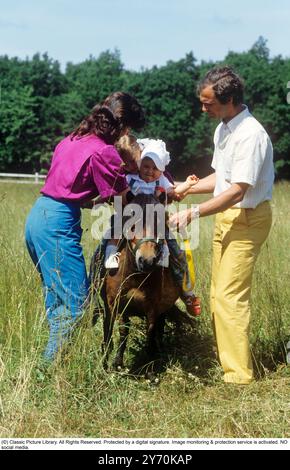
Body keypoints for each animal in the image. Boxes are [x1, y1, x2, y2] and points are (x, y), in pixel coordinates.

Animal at [91, 193, 181, 372]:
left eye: (161, 222)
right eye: (131, 223)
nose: (147, 261)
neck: (135, 276)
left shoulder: (153, 308)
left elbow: (150, 333)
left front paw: (150, 368)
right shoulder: (119, 306)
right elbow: (123, 332)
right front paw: (117, 363)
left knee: (160, 328)